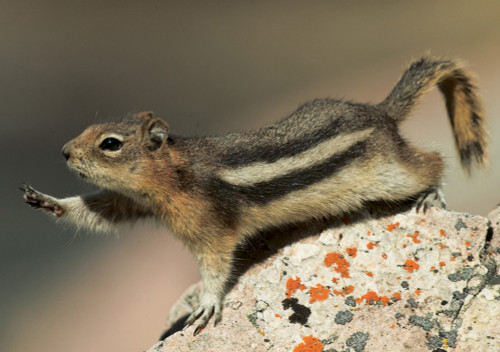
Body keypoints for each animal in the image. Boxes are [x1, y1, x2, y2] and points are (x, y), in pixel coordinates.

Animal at [21, 57, 486, 336]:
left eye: (110, 144)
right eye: (88, 131)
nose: (64, 152)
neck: (171, 173)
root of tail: (381, 112)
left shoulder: (210, 227)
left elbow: (215, 265)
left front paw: (207, 304)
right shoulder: (134, 202)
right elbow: (102, 212)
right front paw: (46, 200)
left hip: (389, 175)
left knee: (429, 161)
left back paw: (431, 195)